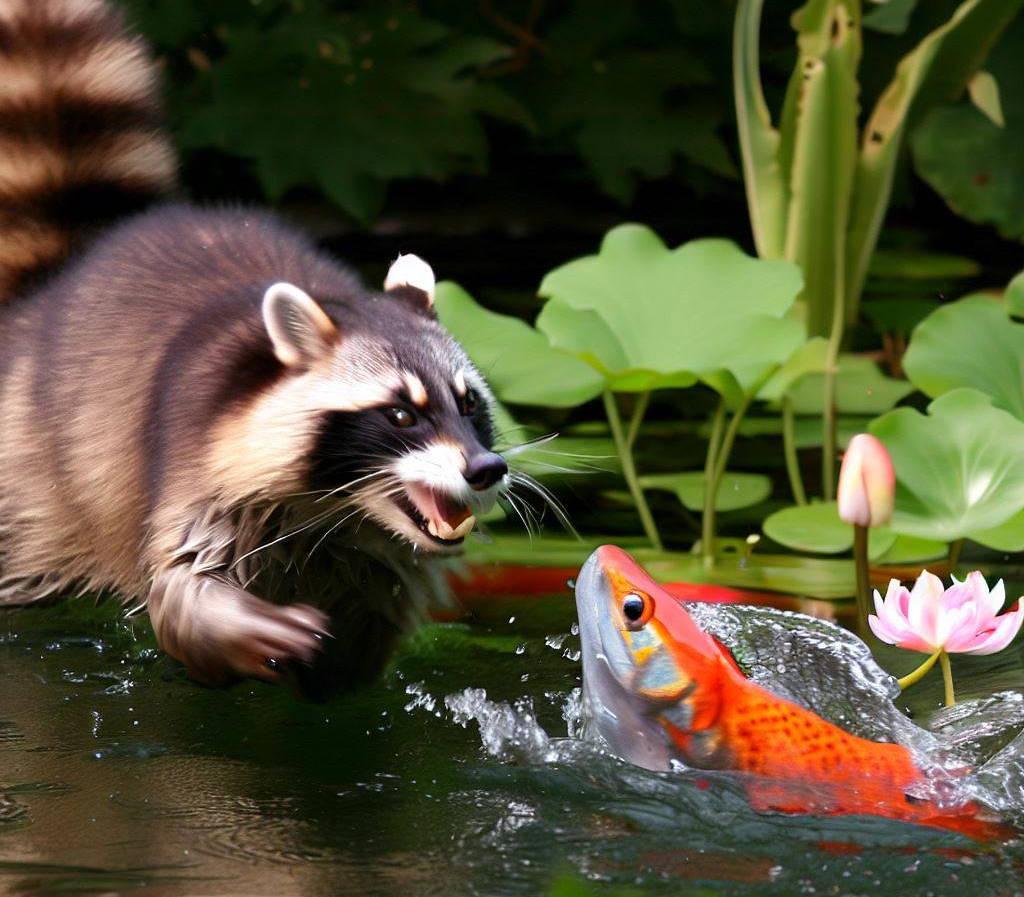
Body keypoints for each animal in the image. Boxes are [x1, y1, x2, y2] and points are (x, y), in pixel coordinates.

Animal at [0, 0, 509, 692]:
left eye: (470, 405)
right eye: (402, 413)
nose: (486, 469)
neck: (337, 506)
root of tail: (53, 289)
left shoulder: (379, 555)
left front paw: (346, 660)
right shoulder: (189, 469)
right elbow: (180, 594)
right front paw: (234, 628)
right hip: (31, 474)